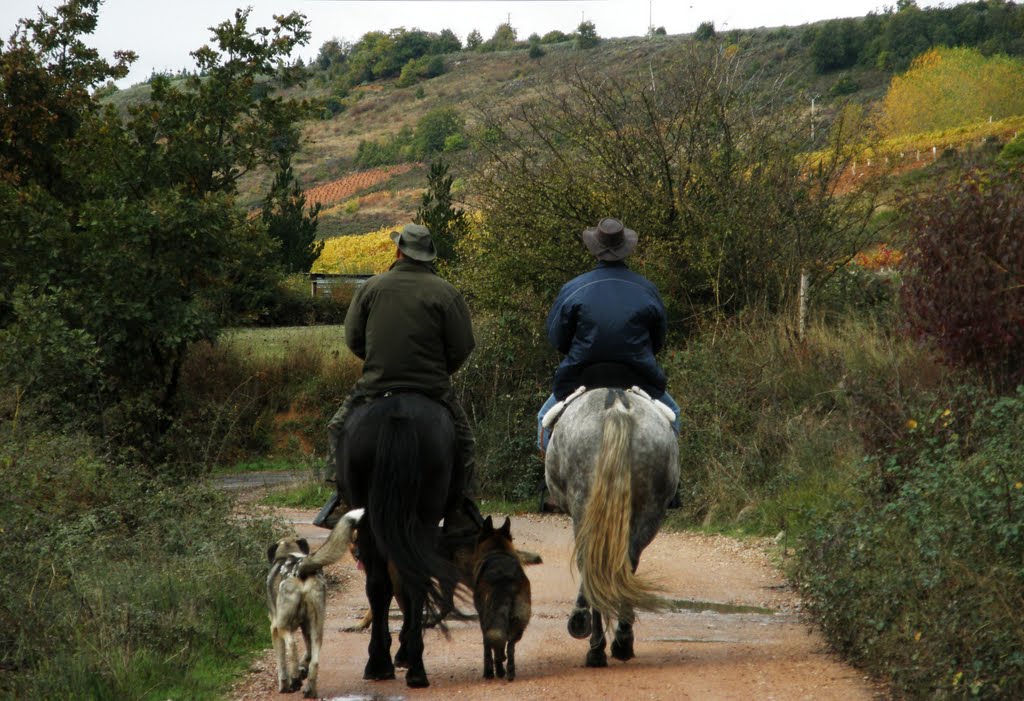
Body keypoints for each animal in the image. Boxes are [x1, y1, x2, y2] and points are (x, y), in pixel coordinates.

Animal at [268, 505, 364, 695]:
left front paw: (284, 685)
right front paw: (302, 670)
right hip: (317, 627)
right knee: (316, 660)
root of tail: (300, 569)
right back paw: (309, 688)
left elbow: (281, 663)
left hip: (283, 625)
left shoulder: (274, 629)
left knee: (292, 645)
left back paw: (295, 680)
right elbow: (308, 654)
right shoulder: (306, 627)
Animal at [544, 388, 679, 667]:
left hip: (585, 506)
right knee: (627, 562)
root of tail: (616, 404)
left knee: (591, 564)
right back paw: (622, 642)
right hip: (649, 510)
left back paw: (595, 645)